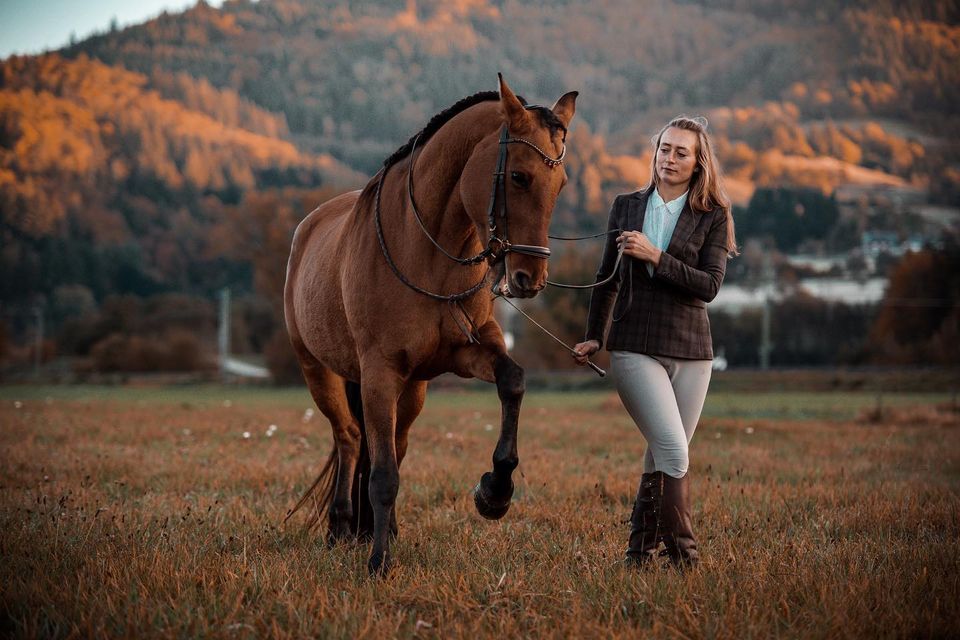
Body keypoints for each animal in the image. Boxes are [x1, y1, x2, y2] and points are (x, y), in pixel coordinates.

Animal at [282, 76, 572, 576]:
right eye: (519, 176)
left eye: (561, 183)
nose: (529, 278)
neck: (430, 252)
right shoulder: (379, 373)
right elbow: (382, 475)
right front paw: (378, 561)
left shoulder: (468, 349)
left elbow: (512, 381)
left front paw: (495, 491)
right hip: (320, 372)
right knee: (350, 438)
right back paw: (342, 528)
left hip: (413, 389)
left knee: (392, 444)